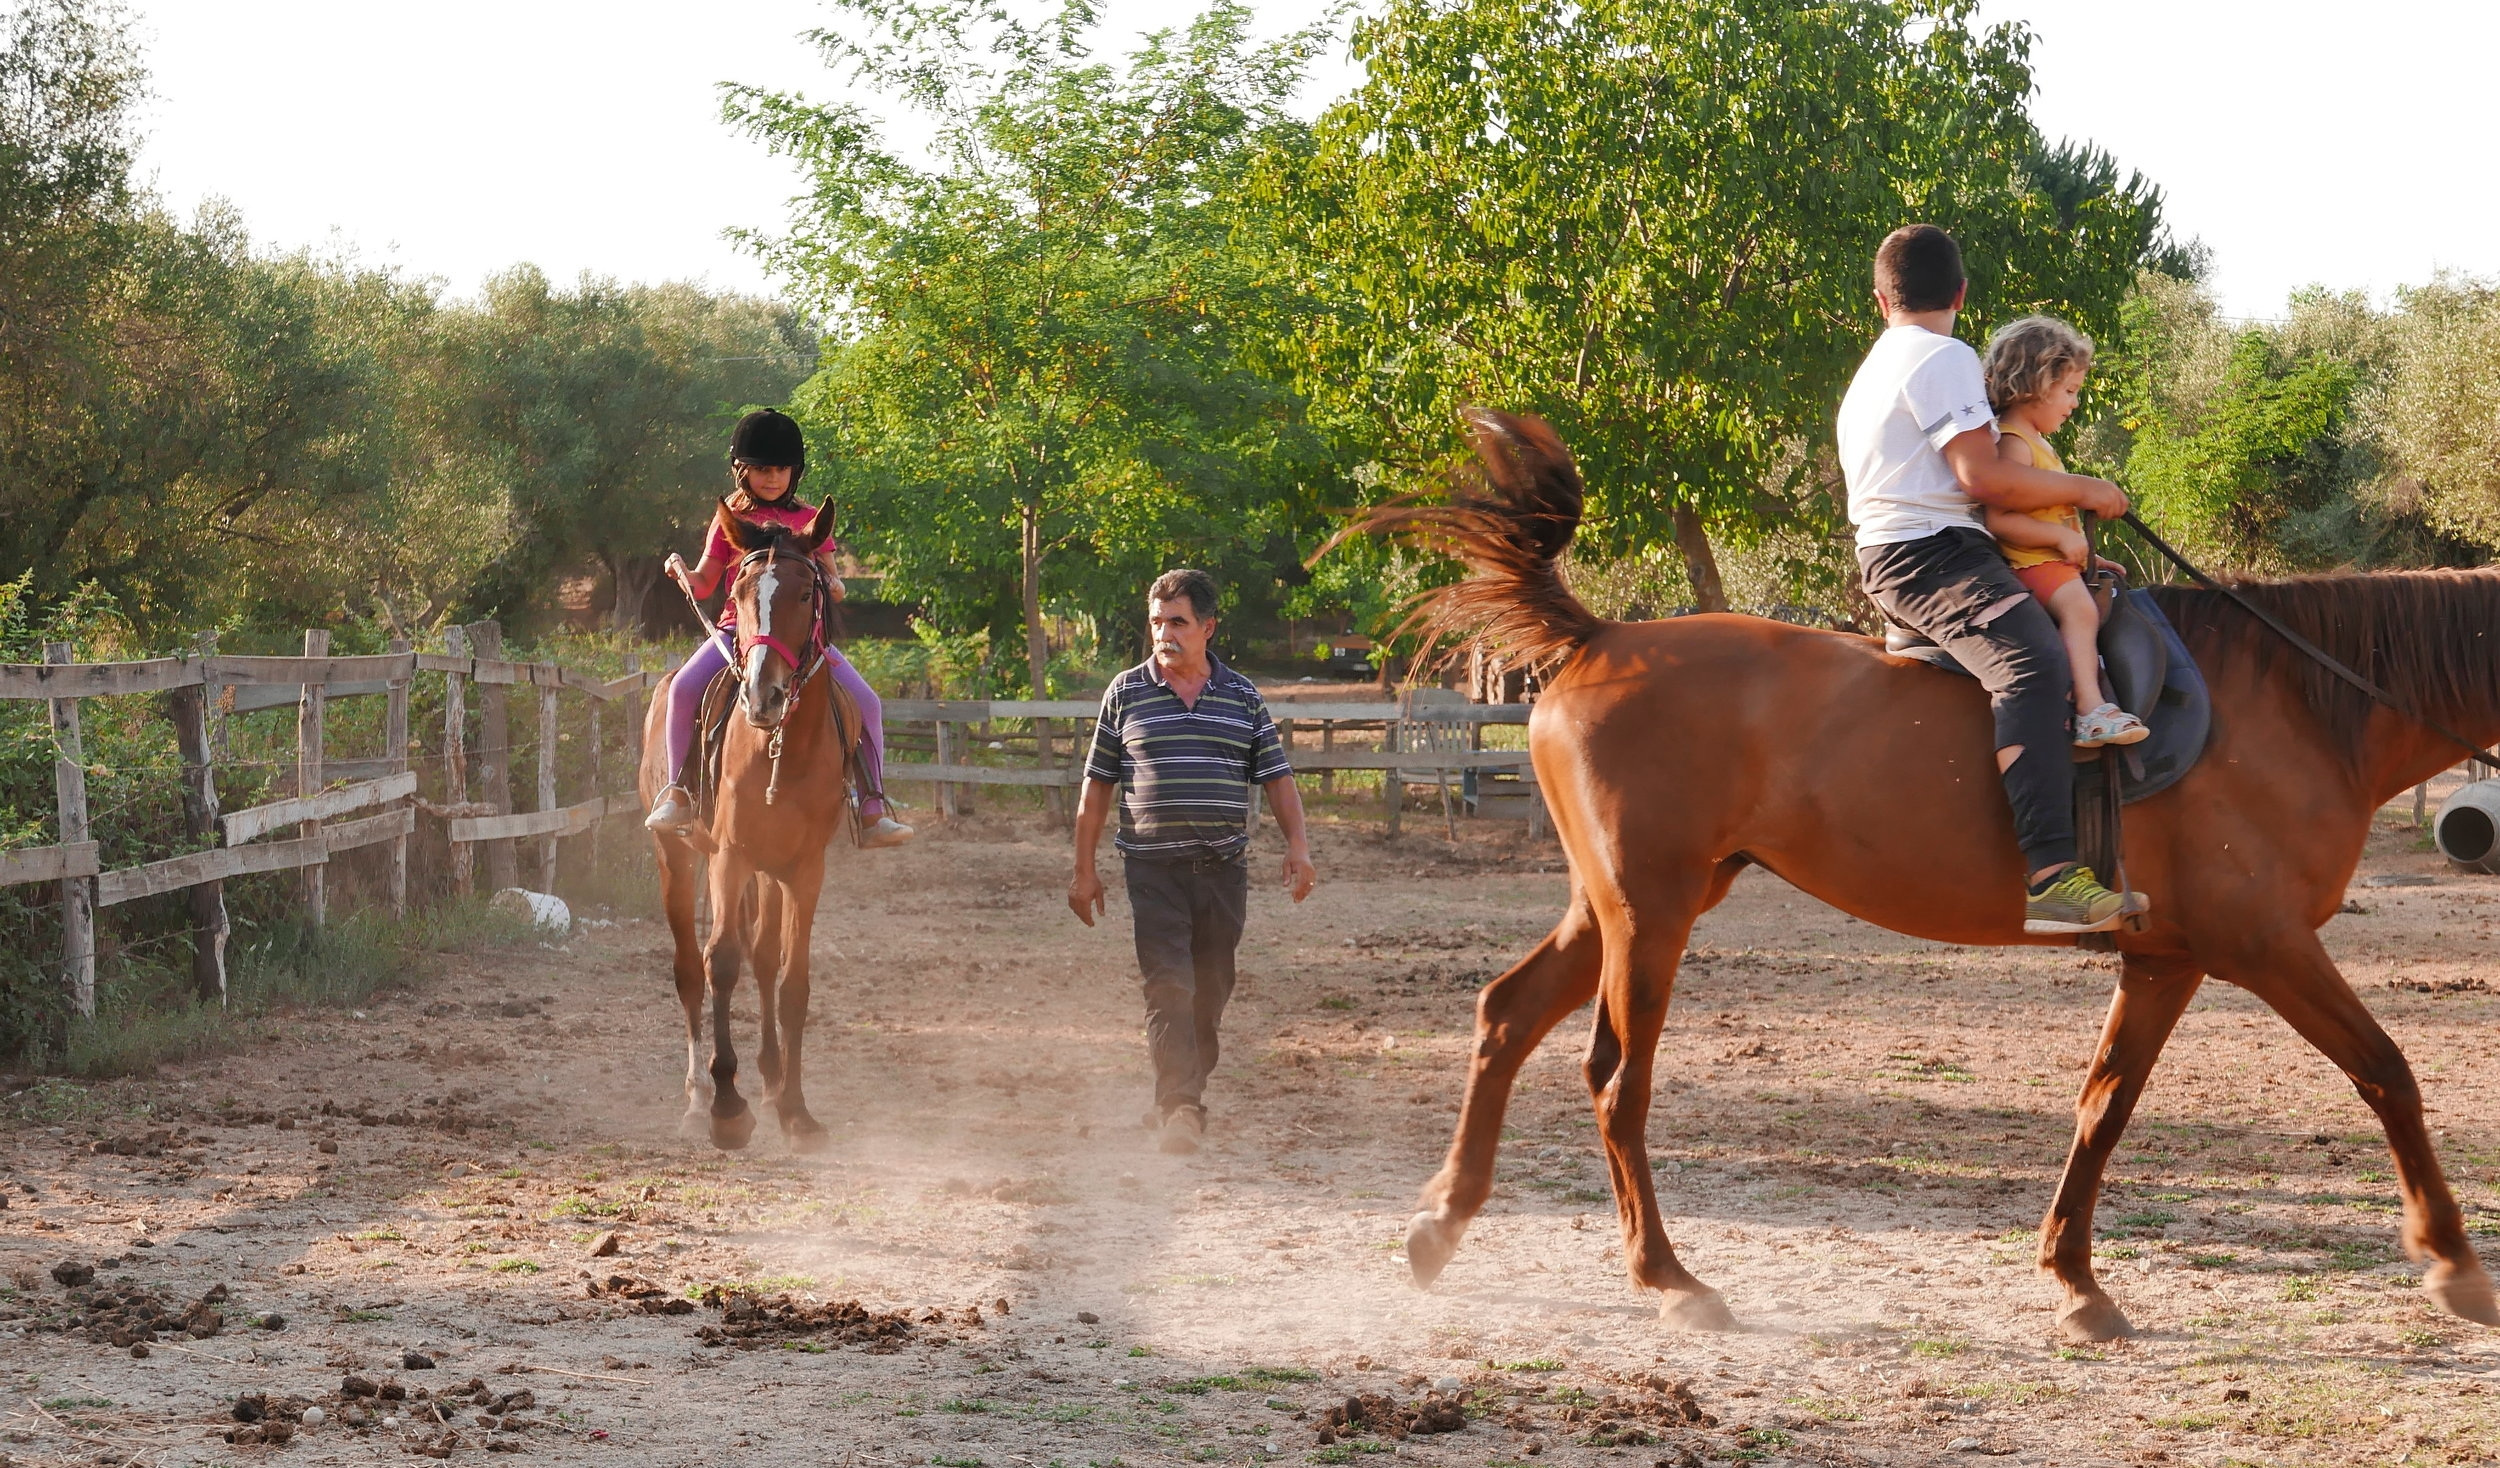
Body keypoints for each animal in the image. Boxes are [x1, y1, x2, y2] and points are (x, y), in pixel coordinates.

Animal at [640, 500, 855, 1155]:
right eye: (737, 587)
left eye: (808, 591)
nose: (764, 695)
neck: (781, 746)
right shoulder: (729, 856)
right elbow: (722, 965)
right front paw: (727, 1108)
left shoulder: (805, 869)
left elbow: (792, 981)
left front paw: (796, 1110)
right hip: (680, 857)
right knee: (691, 969)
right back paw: (697, 1100)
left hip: (767, 871)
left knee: (763, 961)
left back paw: (771, 1083)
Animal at [1360, 405, 2500, 1340]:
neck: (2305, 701)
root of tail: (1600, 640)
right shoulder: (2264, 944)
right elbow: (2388, 1071)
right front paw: (2453, 1264)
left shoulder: (2166, 958)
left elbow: (2104, 1103)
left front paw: (2074, 1281)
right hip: (1650, 914)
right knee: (1614, 1077)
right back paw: (1669, 1280)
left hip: (1622, 903)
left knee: (1506, 1014)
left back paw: (1439, 1227)